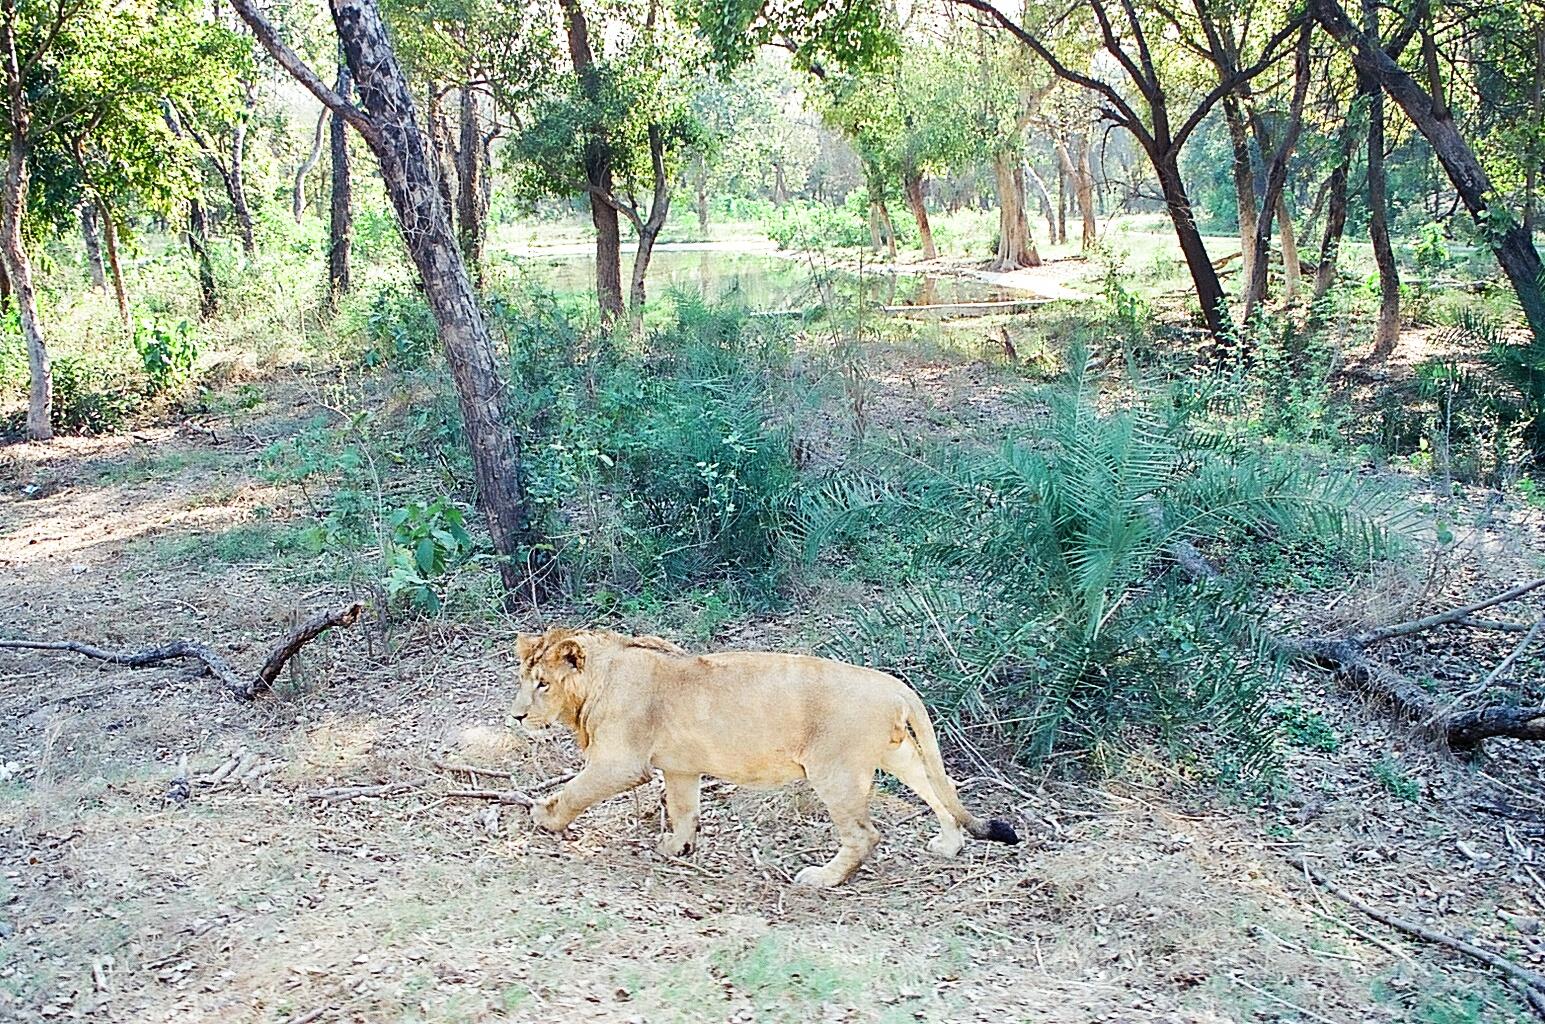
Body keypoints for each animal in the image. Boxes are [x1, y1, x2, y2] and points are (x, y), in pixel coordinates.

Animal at [506, 623, 1019, 889]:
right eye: (524, 679)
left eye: (543, 684)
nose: (516, 716)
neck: (602, 675)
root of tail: (894, 685)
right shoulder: (681, 767)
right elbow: (685, 810)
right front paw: (677, 848)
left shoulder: (620, 763)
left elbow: (574, 792)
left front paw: (544, 817)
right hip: (898, 755)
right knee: (937, 792)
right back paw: (948, 844)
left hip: (835, 771)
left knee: (864, 834)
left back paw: (822, 877)